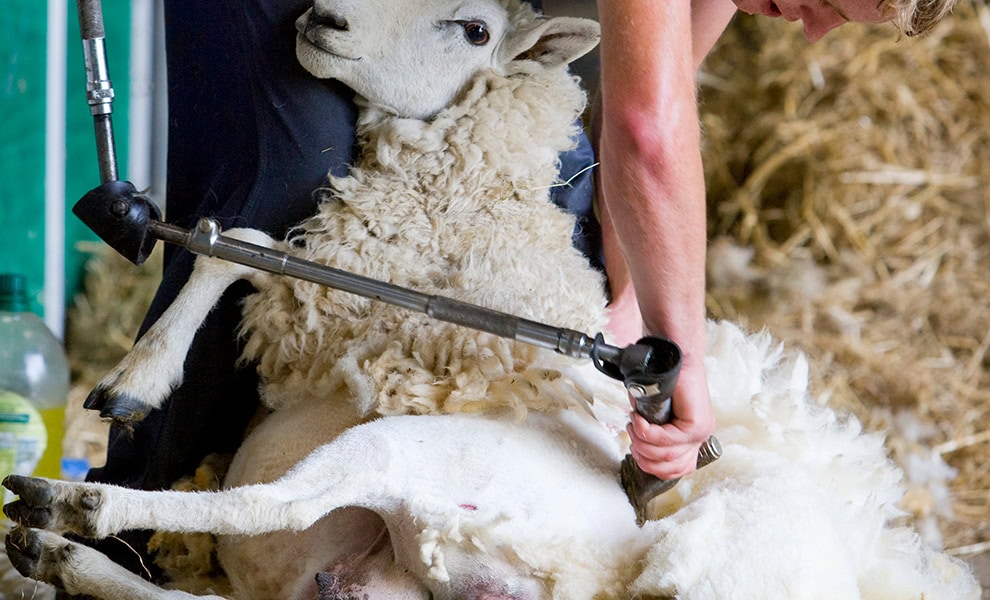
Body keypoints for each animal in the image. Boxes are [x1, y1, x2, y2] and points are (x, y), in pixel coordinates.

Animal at [2, 0, 981, 598]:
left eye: (473, 28)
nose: (323, 17)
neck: (467, 202)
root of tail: (605, 569)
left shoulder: (349, 304)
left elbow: (234, 246)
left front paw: (136, 379)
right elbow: (230, 245)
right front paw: (140, 371)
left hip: (402, 453)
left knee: (270, 504)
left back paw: (72, 510)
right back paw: (60, 554)